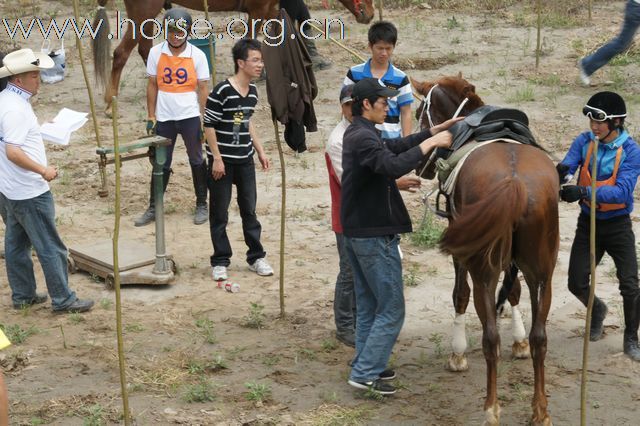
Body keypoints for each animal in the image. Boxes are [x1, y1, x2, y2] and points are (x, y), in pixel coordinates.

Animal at [92, 0, 372, 110]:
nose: (368, 15)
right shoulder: (260, 10)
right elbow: (253, 40)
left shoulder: (270, 10)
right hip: (143, 13)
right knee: (121, 53)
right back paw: (109, 100)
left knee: (145, 50)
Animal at [412, 75, 556, 426]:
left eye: (421, 112)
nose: (421, 167)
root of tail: (516, 182)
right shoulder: (514, 262)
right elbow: (515, 292)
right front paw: (519, 342)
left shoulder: (464, 252)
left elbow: (459, 295)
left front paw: (457, 353)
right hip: (543, 274)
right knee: (541, 337)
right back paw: (539, 410)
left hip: (484, 272)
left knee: (490, 337)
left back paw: (491, 408)